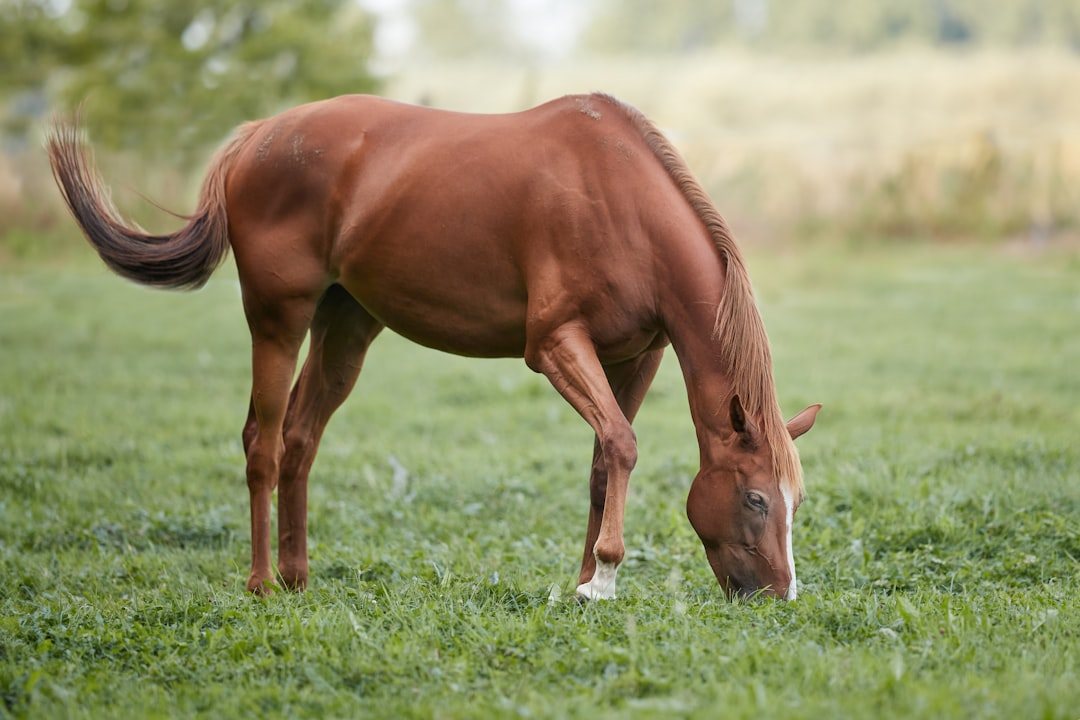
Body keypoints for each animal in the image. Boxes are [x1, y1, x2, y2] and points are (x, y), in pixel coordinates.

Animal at [47, 93, 821, 600]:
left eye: (796, 502)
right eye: (756, 499)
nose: (778, 594)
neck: (619, 199)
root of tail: (256, 136)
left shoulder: (638, 356)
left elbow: (607, 459)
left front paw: (583, 584)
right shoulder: (555, 345)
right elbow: (625, 445)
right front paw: (602, 576)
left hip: (346, 327)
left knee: (299, 438)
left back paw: (298, 579)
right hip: (277, 320)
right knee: (262, 444)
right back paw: (263, 582)